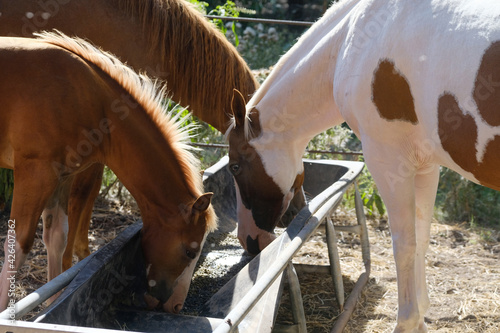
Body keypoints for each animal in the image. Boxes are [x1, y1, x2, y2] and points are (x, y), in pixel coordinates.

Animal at [0, 31, 217, 312]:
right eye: (190, 251)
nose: (176, 305)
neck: (90, 101)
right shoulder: (35, 173)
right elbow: (18, 244)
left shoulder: (62, 177)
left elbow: (56, 236)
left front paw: (52, 302)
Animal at [228, 0, 500, 330]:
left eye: (235, 167)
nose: (248, 239)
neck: (354, 38)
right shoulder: (425, 165)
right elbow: (421, 239)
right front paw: (421, 314)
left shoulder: (388, 161)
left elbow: (404, 246)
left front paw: (406, 322)